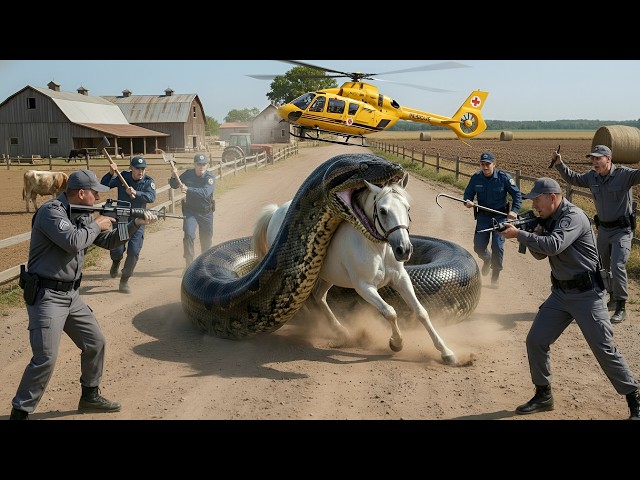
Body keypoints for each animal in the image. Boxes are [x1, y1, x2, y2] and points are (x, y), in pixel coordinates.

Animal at [252, 175, 457, 365]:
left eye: (407, 208)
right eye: (383, 211)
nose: (404, 249)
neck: (377, 249)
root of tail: (276, 211)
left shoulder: (401, 279)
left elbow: (421, 311)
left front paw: (447, 352)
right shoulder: (364, 287)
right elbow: (390, 312)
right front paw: (396, 343)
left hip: (327, 276)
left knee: (319, 297)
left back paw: (340, 331)